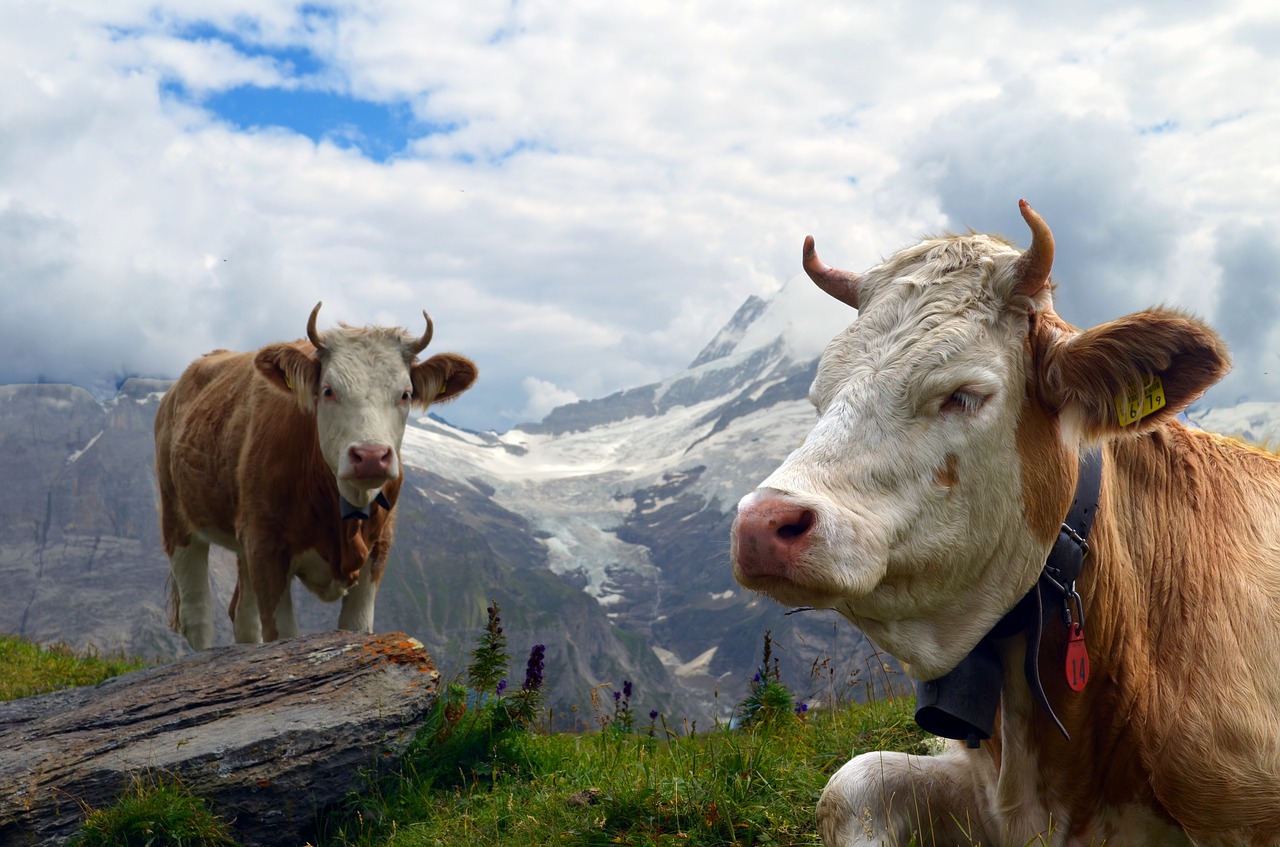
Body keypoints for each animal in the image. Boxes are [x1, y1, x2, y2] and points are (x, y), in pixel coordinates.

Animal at [154, 303, 476, 649]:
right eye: (328, 390)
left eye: (405, 394)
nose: (371, 456)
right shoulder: (267, 546)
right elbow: (281, 635)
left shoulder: (379, 548)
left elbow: (357, 629)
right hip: (178, 520)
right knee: (197, 615)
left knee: (243, 616)